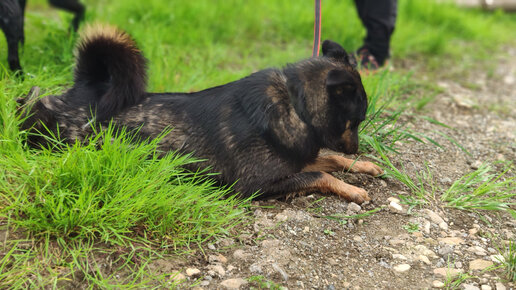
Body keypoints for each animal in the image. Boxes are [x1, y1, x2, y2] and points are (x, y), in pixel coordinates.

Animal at [19, 26, 382, 205]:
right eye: (357, 121)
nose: (357, 147)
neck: (295, 105)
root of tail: (86, 88)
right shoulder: (255, 184)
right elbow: (320, 174)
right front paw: (352, 190)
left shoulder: (297, 159)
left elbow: (331, 160)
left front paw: (361, 166)